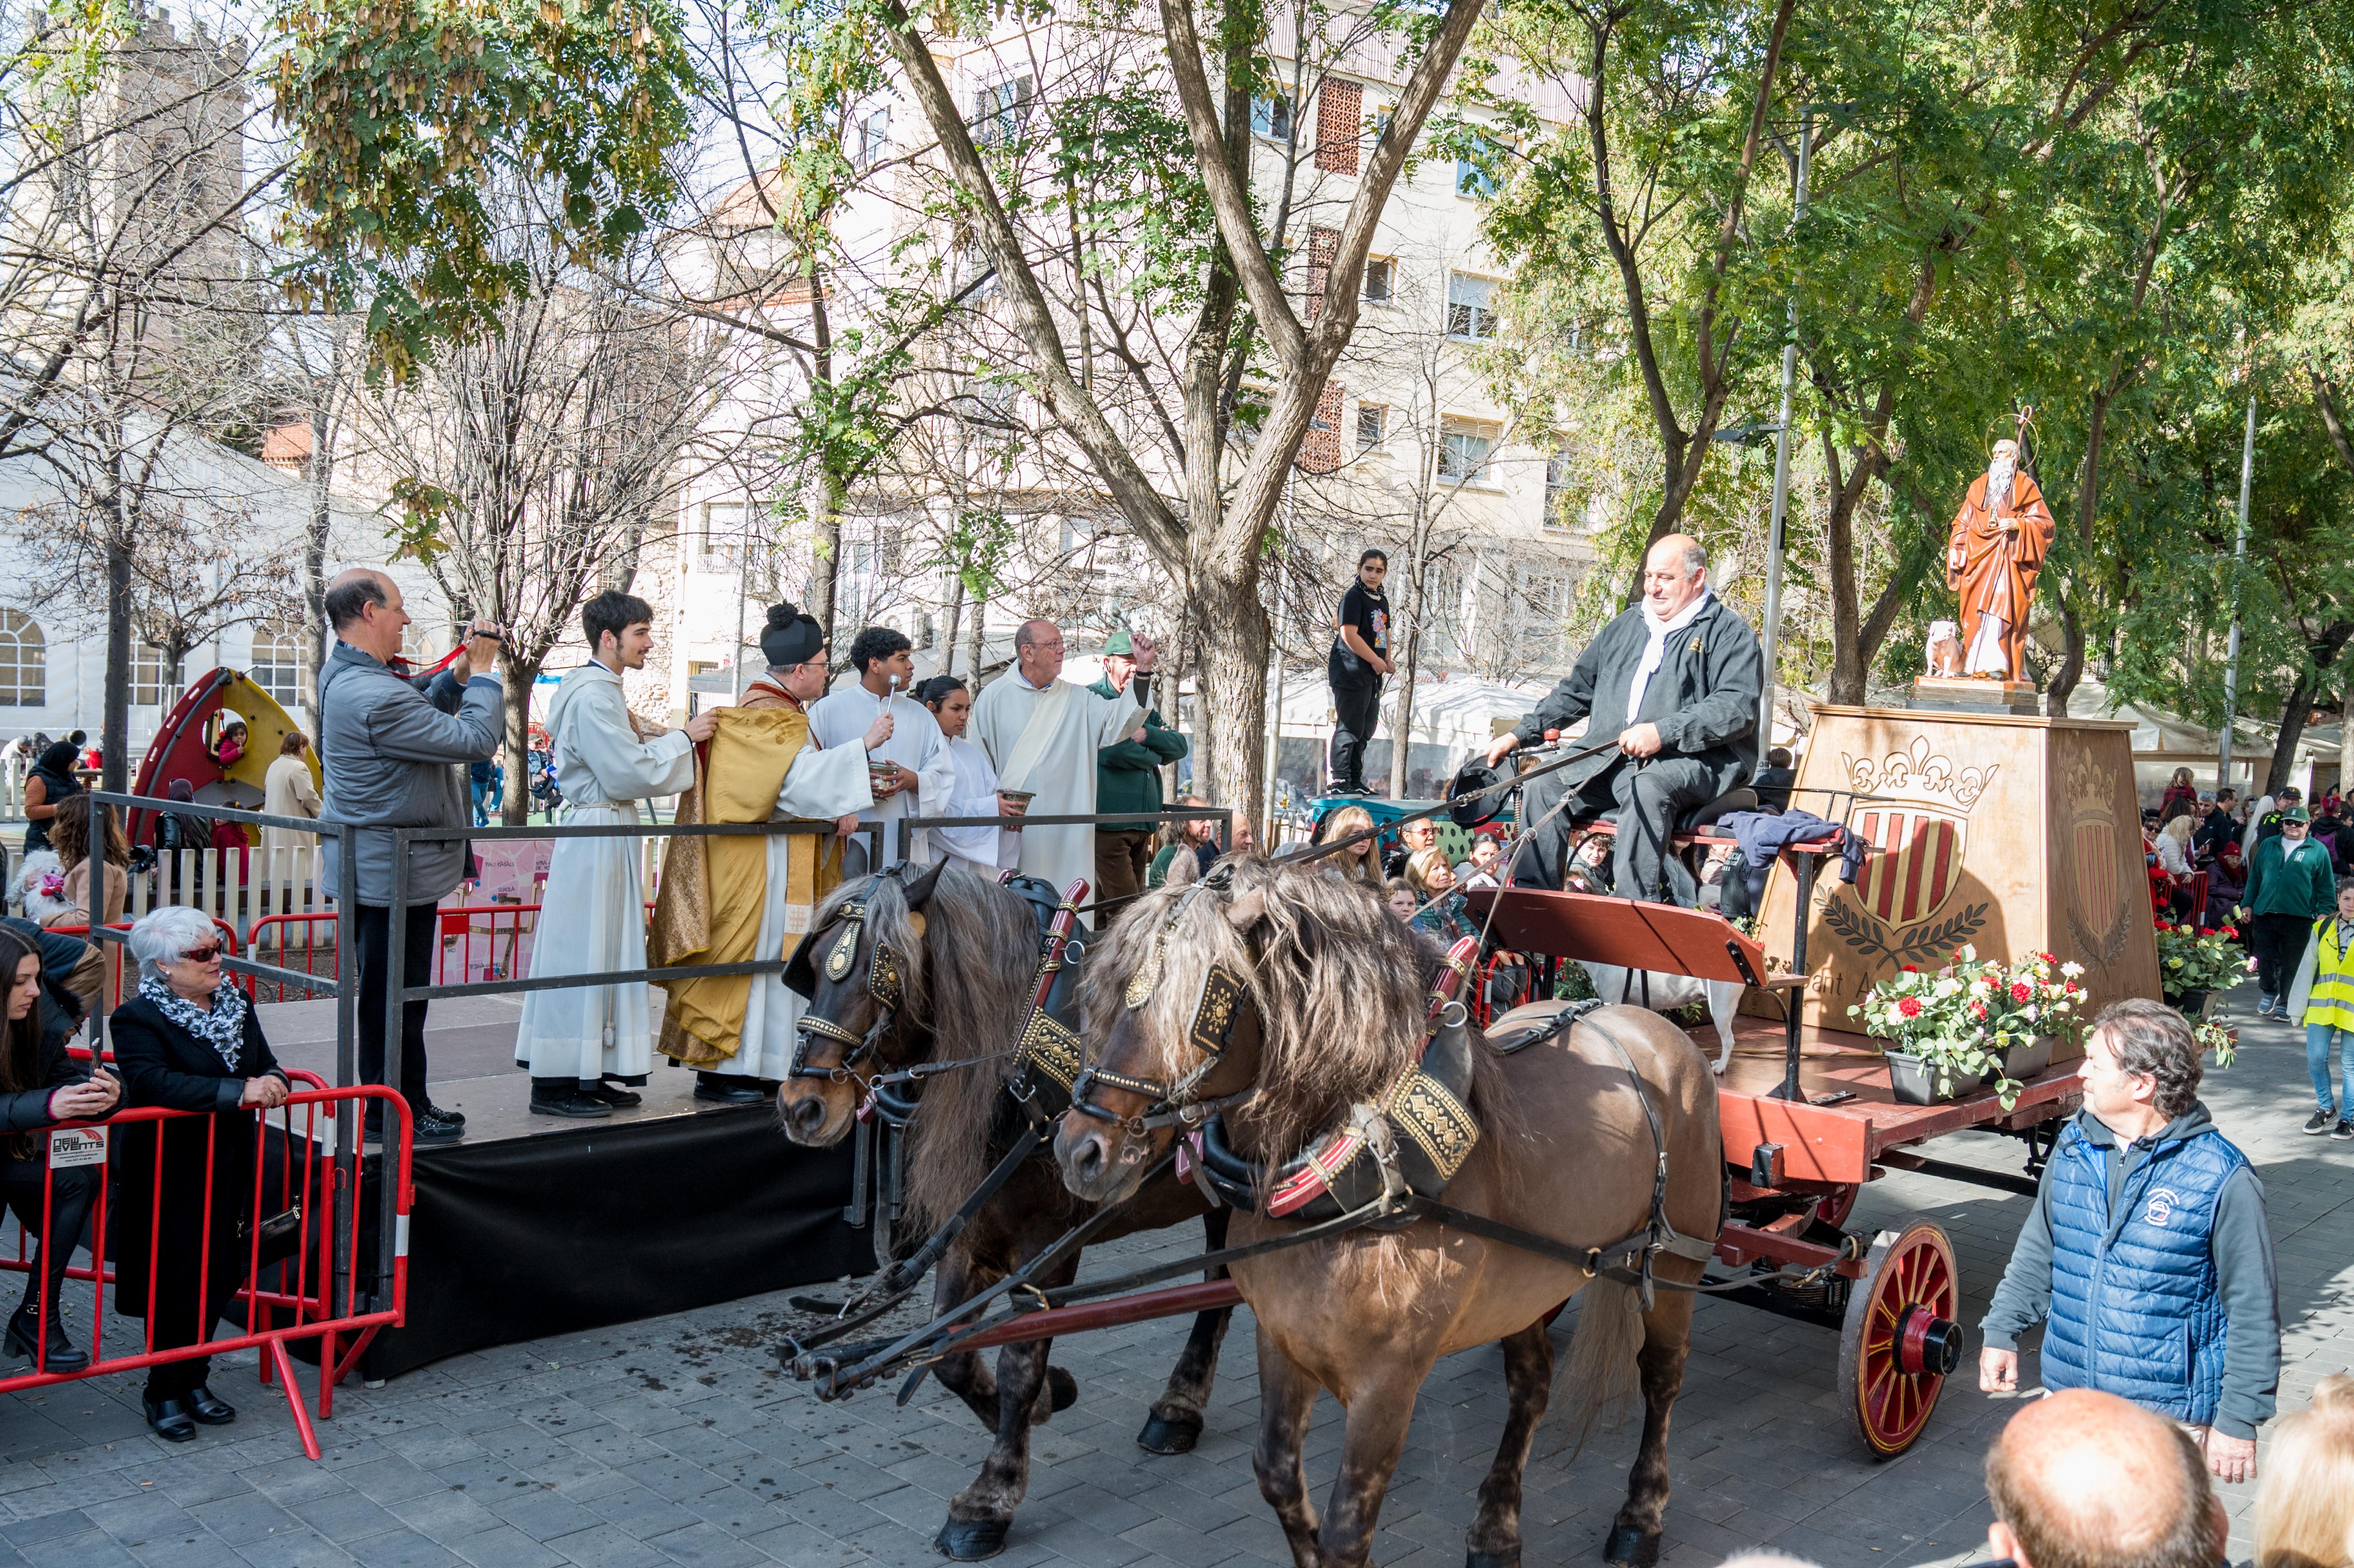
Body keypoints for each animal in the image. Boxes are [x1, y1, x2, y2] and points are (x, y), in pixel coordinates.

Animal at [777, 861, 1252, 1553]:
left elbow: (1018, 1361)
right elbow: (950, 1349)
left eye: (882, 968)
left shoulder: (1045, 1243)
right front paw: (1054, 1396)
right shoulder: (972, 1228)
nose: (801, 1107)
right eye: (813, 964)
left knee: (1222, 1280)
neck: (1018, 1059)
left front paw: (990, 1497)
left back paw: (1181, 1402)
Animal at [1059, 857, 1723, 1563]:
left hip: (1675, 1264)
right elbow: (1276, 1476)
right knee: (1532, 1383)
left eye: (1191, 1006)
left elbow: (1347, 1530)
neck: (1369, 1165)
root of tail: (1654, 1025)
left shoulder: (1389, 1381)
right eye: (1104, 994)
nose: (1079, 1150)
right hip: (1527, 1284)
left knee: (1661, 1377)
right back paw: (1496, 1527)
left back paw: (1639, 1517)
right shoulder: (1282, 1338)